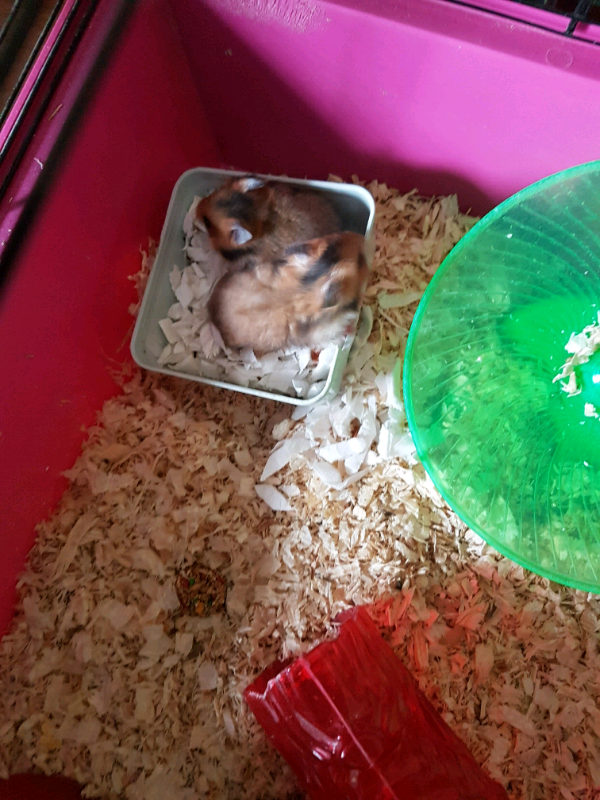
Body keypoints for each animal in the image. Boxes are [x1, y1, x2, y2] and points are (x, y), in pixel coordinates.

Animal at [207, 231, 369, 353]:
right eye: (361, 260)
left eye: (336, 236)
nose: (361, 236)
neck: (305, 288)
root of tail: (210, 312)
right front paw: (350, 329)